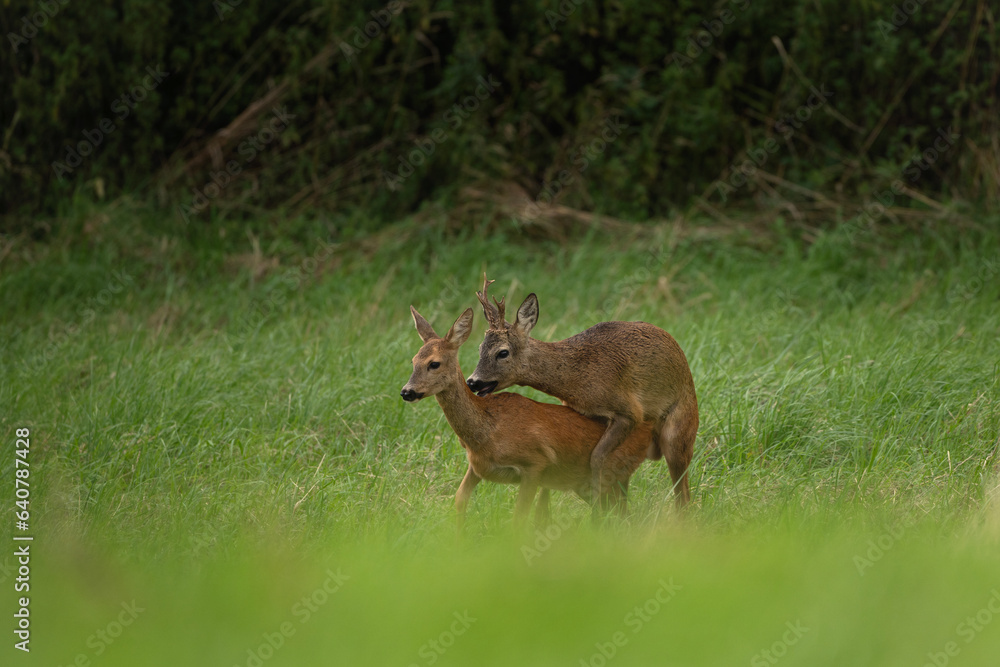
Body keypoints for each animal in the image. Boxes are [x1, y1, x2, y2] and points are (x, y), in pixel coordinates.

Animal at [399, 305, 655, 531]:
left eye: (434, 363)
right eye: (413, 361)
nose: (406, 392)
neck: (486, 431)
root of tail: (647, 431)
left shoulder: (535, 464)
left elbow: (519, 518)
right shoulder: (476, 468)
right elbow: (459, 500)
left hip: (611, 473)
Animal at [465, 275, 698, 509]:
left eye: (502, 352)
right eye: (479, 348)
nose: (472, 381)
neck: (576, 376)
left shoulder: (630, 411)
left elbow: (596, 458)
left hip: (679, 431)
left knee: (683, 493)